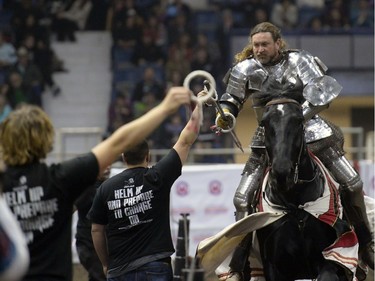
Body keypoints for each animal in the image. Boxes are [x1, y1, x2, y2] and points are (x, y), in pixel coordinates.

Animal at [253, 97, 358, 280]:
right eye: (264, 122)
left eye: (299, 121)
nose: (282, 172)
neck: (296, 208)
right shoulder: (274, 267)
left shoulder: (330, 259)